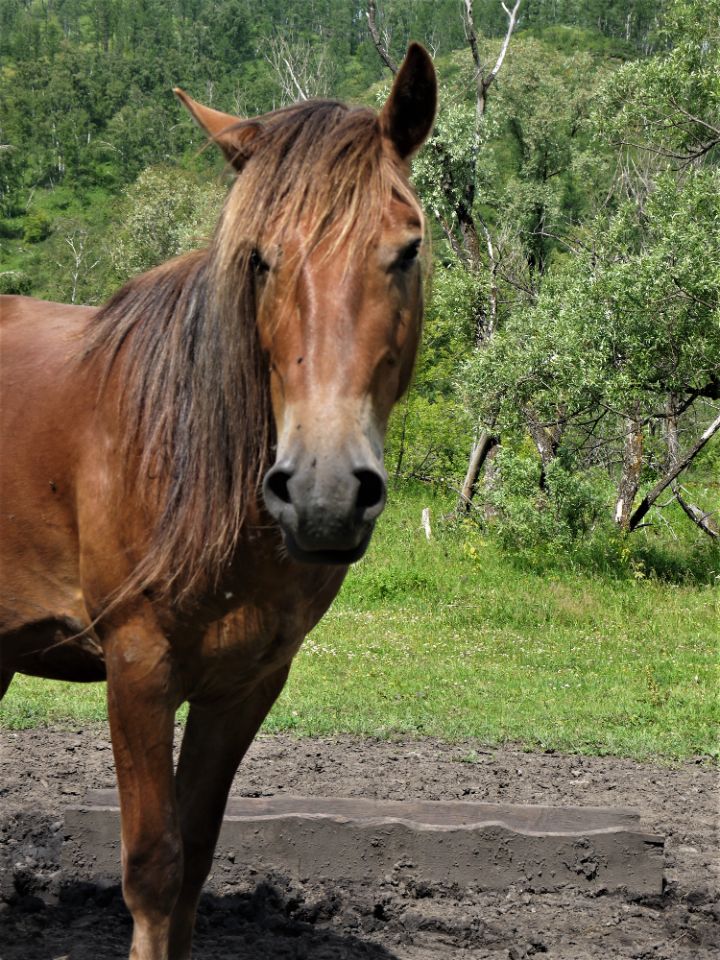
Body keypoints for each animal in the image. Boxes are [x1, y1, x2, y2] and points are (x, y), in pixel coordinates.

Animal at [0, 43, 436, 960]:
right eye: (260, 258)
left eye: (407, 249)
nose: (323, 493)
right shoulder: (137, 668)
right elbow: (154, 867)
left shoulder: (245, 684)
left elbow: (196, 860)